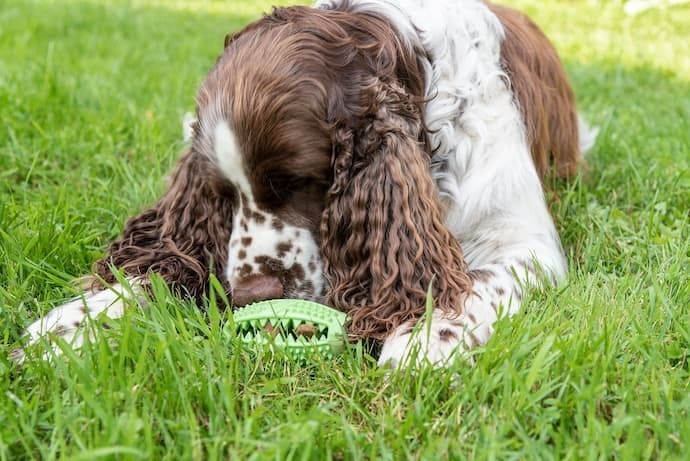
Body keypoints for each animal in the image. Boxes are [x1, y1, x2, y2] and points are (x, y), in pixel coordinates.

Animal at [10, 0, 592, 366]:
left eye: (298, 180)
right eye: (223, 193)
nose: (253, 296)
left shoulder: (522, 239)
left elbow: (475, 281)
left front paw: (428, 335)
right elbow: (166, 264)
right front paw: (73, 323)